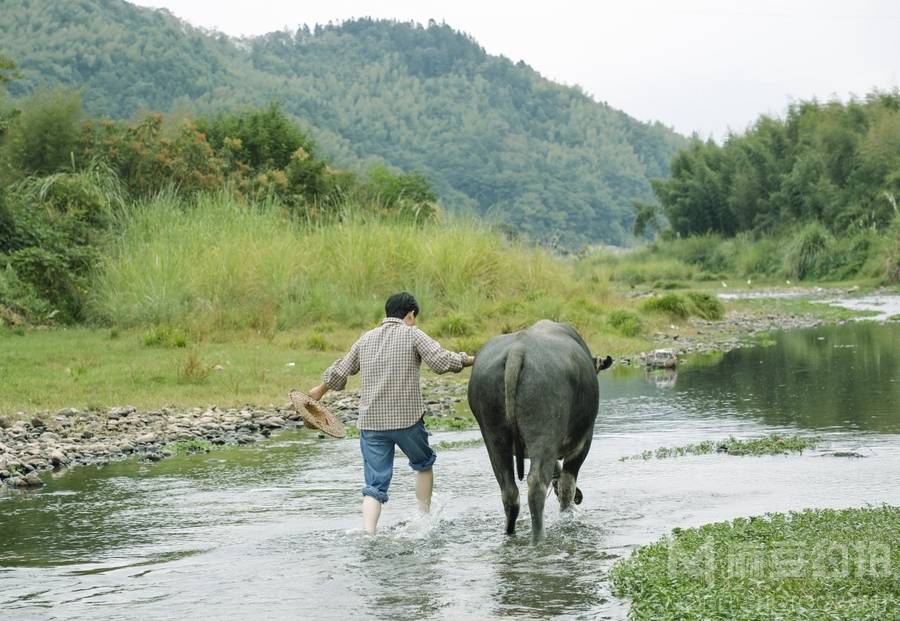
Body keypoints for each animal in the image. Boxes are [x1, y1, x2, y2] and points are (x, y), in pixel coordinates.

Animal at [464, 320, 612, 536]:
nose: (580, 497)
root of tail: (518, 349)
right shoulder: (582, 443)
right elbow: (567, 485)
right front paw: (567, 515)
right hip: (545, 434)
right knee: (536, 485)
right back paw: (539, 536)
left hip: (493, 436)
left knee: (509, 492)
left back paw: (510, 533)